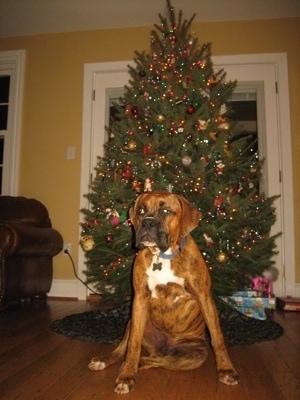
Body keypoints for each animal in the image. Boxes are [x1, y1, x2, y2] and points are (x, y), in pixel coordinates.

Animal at [88, 191, 238, 394]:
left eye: (165, 211)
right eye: (141, 210)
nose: (147, 223)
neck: (162, 255)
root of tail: (162, 349)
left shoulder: (204, 297)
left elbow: (218, 338)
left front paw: (226, 370)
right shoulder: (139, 300)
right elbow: (133, 345)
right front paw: (127, 377)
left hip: (194, 355)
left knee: (159, 361)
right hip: (133, 322)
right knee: (126, 350)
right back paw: (108, 361)